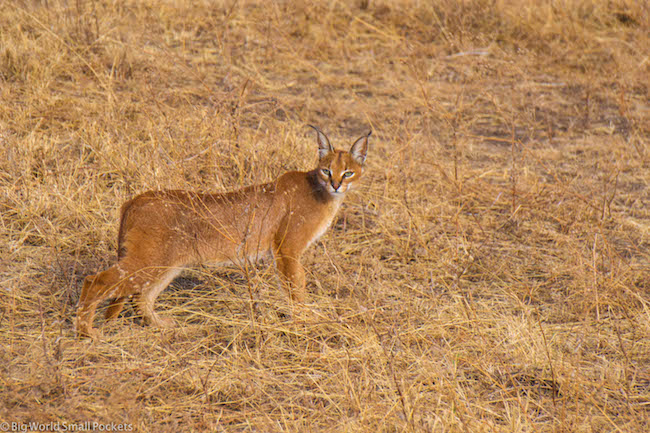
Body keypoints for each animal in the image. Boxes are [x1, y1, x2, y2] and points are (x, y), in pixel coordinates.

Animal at [76, 125, 370, 338]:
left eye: (348, 173)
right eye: (327, 170)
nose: (335, 184)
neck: (321, 193)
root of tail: (136, 199)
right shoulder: (287, 249)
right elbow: (296, 288)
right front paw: (304, 320)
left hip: (165, 264)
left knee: (142, 298)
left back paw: (162, 325)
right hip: (148, 261)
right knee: (95, 282)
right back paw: (86, 333)